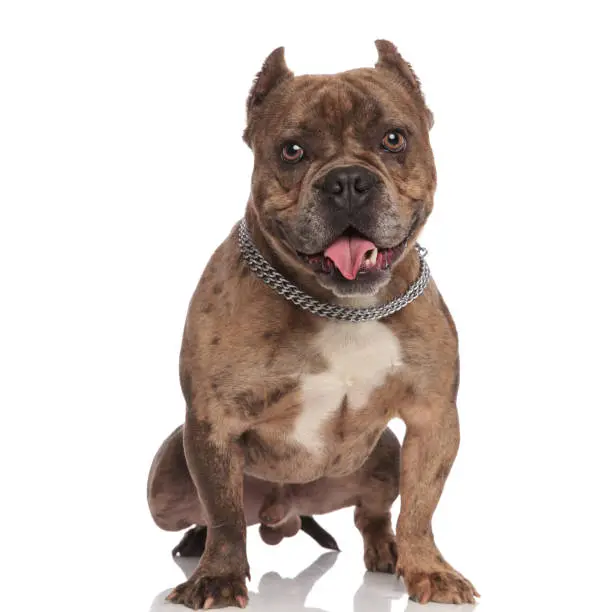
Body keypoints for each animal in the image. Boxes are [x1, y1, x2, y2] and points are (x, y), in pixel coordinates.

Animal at [147, 40, 478, 608]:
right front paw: (219, 577)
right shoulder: (213, 422)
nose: (347, 181)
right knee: (210, 515)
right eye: (292, 151)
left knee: (373, 513)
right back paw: (195, 547)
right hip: (166, 475)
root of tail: (284, 511)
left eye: (394, 139)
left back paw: (387, 552)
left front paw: (428, 569)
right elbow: (223, 512)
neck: (343, 305)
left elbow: (421, 507)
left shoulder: (432, 420)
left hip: (383, 455)